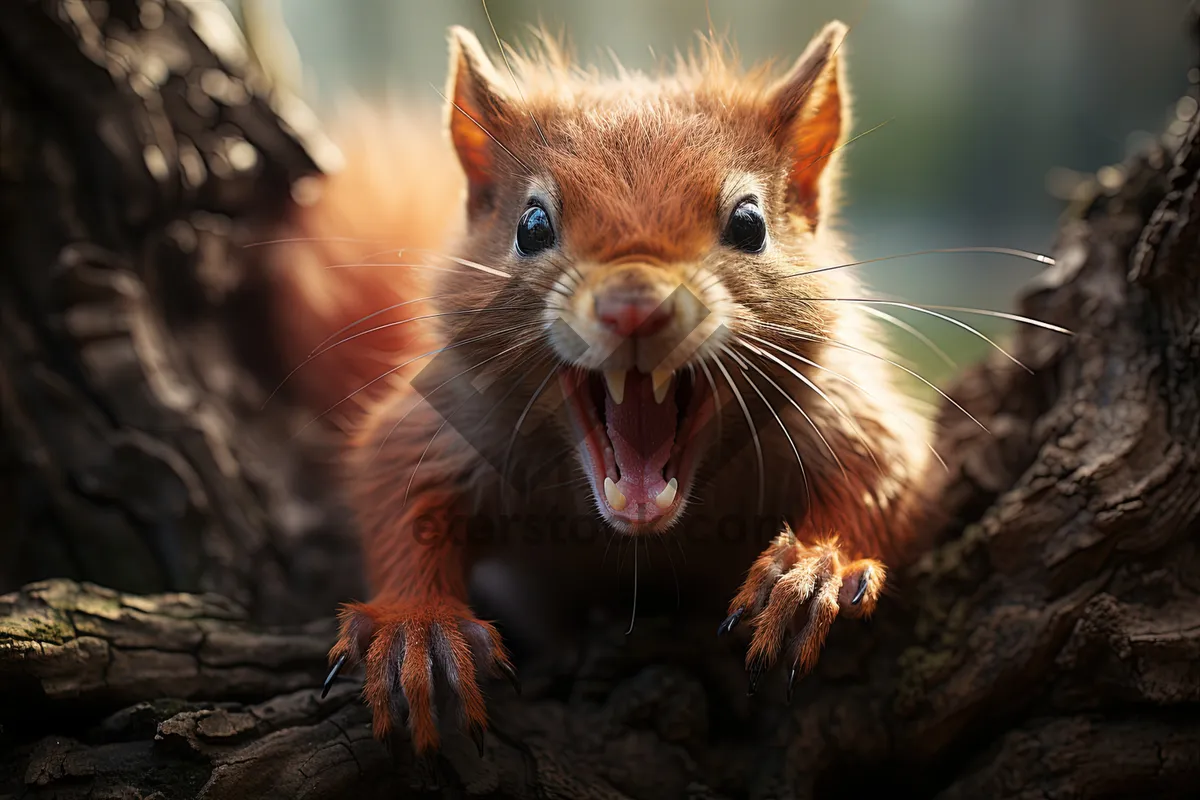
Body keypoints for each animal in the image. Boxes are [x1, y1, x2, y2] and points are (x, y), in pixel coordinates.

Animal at [267, 21, 931, 753]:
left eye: (750, 225)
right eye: (531, 226)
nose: (634, 306)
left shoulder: (841, 406)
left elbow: (881, 473)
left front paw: (812, 572)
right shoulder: (447, 418)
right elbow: (395, 487)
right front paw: (417, 626)